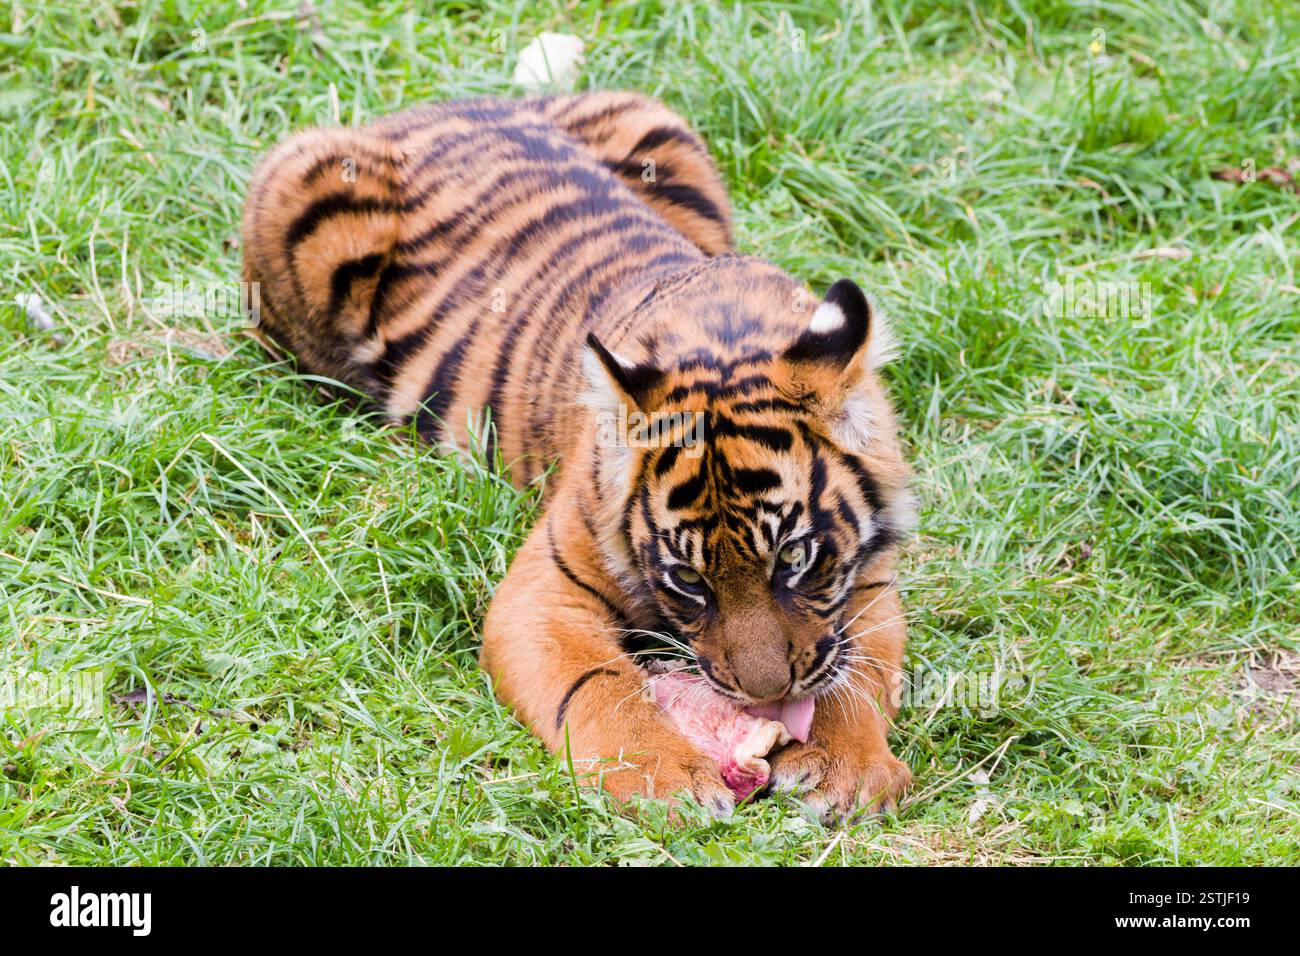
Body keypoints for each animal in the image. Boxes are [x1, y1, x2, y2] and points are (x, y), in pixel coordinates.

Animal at [240, 91, 915, 819]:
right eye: (688, 580)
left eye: (794, 558)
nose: (767, 698)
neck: (724, 334)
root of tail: (440, 102)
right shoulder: (544, 593)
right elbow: (600, 685)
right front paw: (663, 778)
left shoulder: (871, 582)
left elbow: (863, 670)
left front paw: (846, 767)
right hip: (300, 185)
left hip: (661, 126)